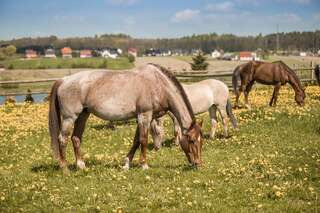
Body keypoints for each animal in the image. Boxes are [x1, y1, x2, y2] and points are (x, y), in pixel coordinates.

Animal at [48, 63, 202, 171]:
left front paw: (127, 164)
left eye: (202, 141)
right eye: (192, 140)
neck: (158, 84)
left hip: (83, 116)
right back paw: (64, 167)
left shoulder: (142, 118)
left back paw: (80, 165)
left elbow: (136, 141)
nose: (198, 164)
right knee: (62, 139)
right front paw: (144, 165)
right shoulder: (144, 115)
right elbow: (143, 140)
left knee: (76, 138)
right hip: (69, 118)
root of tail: (63, 80)